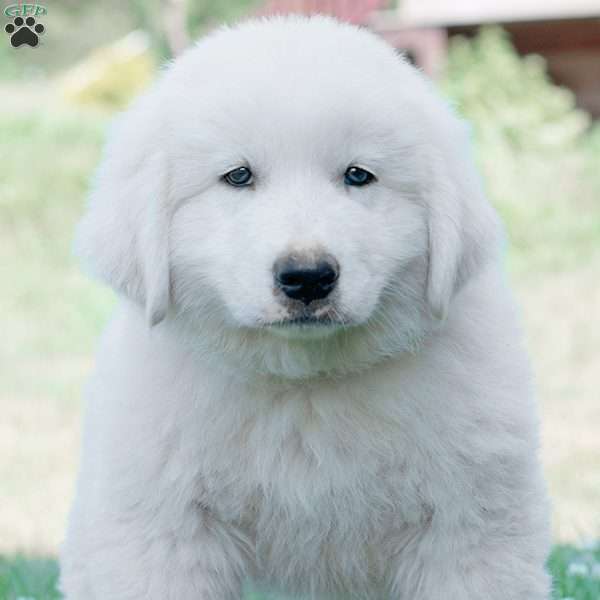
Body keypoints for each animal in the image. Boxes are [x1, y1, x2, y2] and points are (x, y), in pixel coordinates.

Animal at [62, 16, 552, 600]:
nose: (308, 277)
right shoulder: (166, 533)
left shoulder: (470, 526)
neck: (305, 389)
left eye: (358, 175)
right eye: (238, 176)